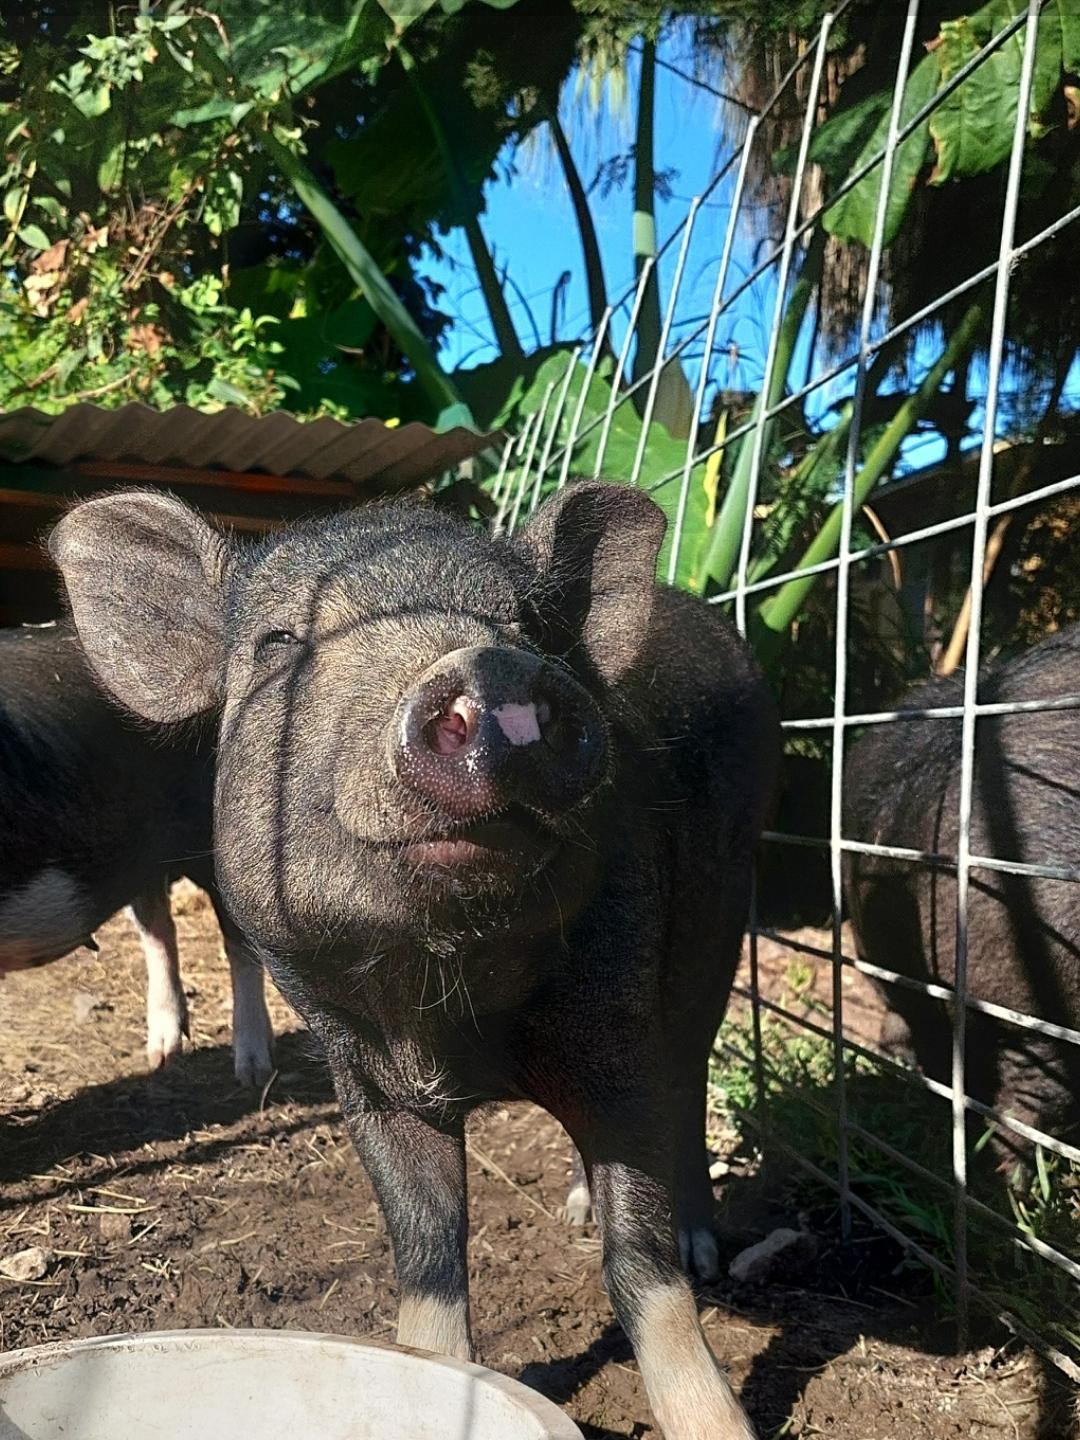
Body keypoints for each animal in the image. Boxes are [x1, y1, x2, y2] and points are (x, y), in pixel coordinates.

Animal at [50, 482, 780, 1440]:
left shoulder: (617, 1029)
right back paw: (577, 1207)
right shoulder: (360, 1073)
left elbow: (644, 1268)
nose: (495, 669)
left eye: (532, 629)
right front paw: (431, 1377)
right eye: (279, 644)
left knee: (689, 1074)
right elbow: (427, 1255)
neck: (453, 1000)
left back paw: (694, 1243)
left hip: (723, 914)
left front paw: (717, 1424)